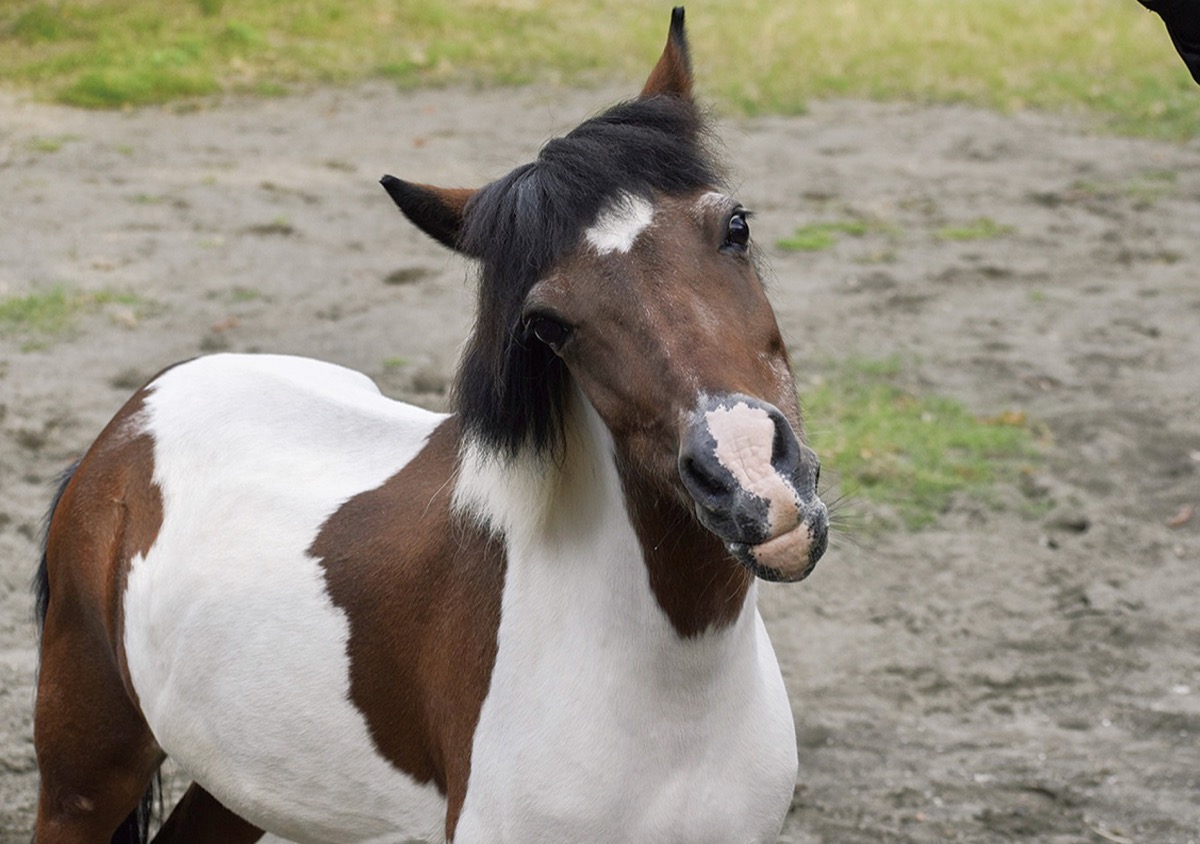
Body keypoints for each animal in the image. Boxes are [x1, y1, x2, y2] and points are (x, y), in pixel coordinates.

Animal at [31, 8, 828, 843]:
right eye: (548, 326)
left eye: (735, 226)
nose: (750, 475)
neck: (675, 700)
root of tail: (134, 417)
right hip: (84, 770)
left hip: (238, 778)